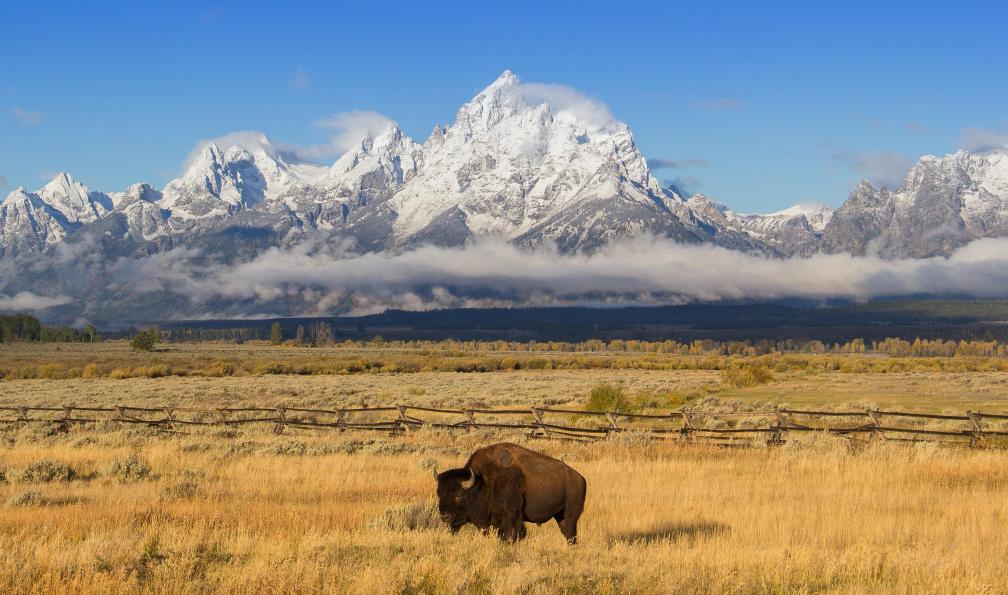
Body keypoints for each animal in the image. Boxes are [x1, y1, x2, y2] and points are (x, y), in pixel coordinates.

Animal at [435, 442, 586, 543]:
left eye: (459, 495)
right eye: (439, 493)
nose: (444, 516)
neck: (482, 481)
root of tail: (580, 478)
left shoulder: (511, 517)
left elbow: (511, 535)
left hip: (571, 515)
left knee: (571, 534)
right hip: (560, 516)